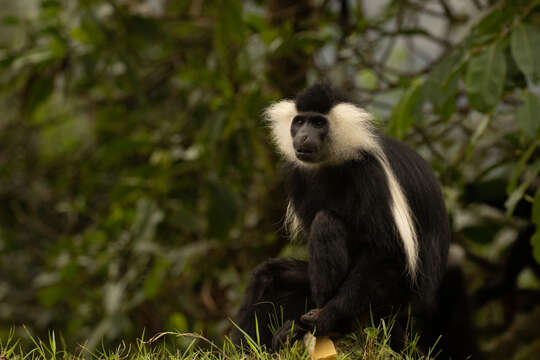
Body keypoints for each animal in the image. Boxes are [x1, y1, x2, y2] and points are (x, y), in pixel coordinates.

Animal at [231, 83, 452, 354]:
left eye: (318, 123)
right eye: (300, 122)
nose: (302, 136)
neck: (334, 161)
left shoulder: (371, 174)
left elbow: (387, 253)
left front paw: (326, 318)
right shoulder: (298, 176)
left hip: (387, 306)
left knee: (327, 223)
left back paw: (325, 327)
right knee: (270, 277)